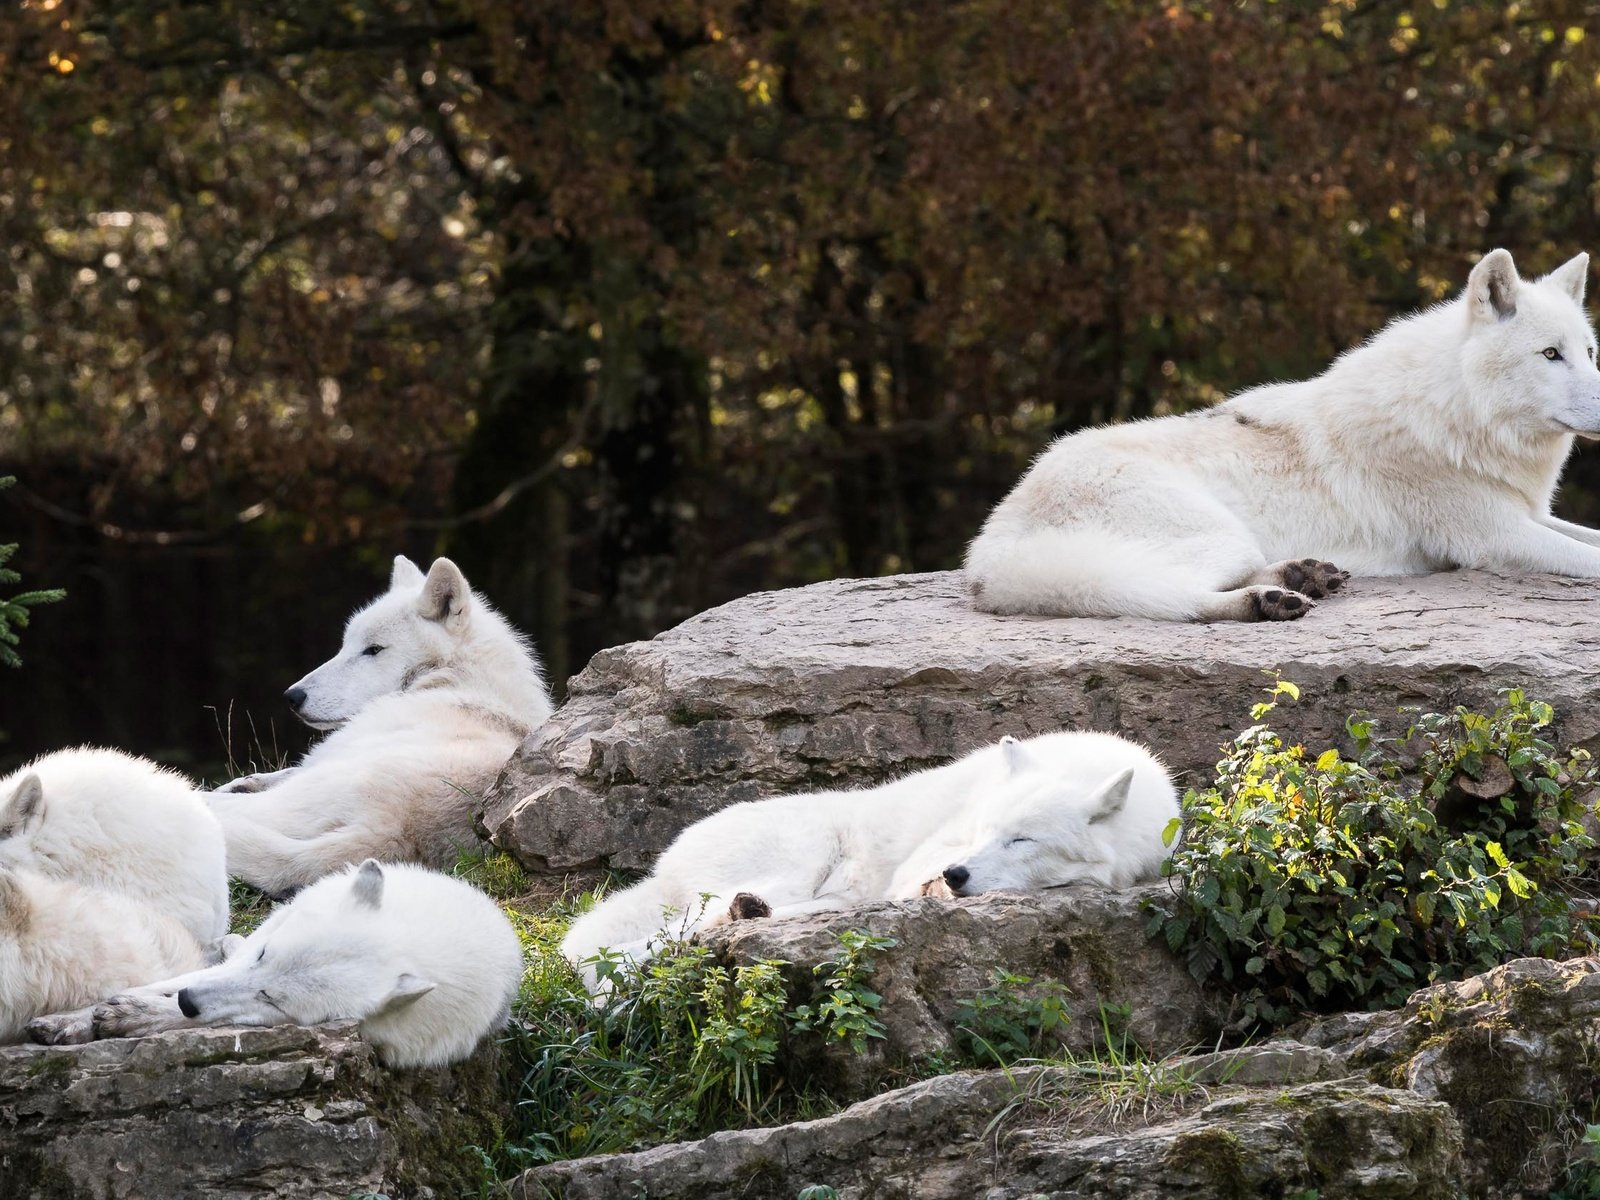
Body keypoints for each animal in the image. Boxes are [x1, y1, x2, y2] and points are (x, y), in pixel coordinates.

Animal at [206, 560, 556, 896]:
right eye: (345, 645)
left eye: (373, 649)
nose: (292, 696)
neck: (454, 679)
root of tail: (394, 832)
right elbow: (269, 773)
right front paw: (241, 782)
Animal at [560, 732, 1177, 998]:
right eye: (985, 831)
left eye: (1021, 840)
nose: (956, 875)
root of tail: (666, 859)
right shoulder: (931, 852)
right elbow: (915, 880)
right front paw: (933, 890)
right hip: (800, 854)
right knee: (681, 932)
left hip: (827, 895)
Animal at [960, 244, 1600, 620]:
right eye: (1550, 354)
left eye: (1589, 353)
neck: (1458, 412)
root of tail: (992, 542)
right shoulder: (1496, 535)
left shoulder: (1529, 515)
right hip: (1216, 537)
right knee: (1162, 595)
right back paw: (1264, 601)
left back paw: (1300, 575)